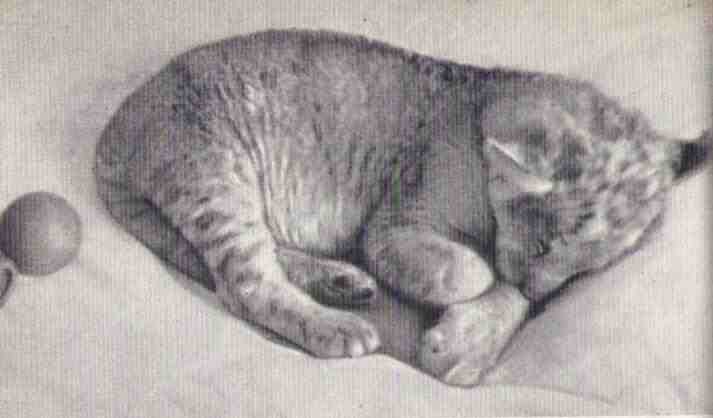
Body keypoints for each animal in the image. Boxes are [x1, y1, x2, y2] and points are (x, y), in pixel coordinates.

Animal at [94, 29, 711, 386]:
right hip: (215, 172)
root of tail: (115, 130)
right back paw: (338, 326)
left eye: (583, 272)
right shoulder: (396, 223)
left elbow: (506, 291)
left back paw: (342, 282)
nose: (541, 292)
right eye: (543, 245)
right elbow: (475, 270)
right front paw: (468, 315)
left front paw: (472, 341)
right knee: (243, 287)